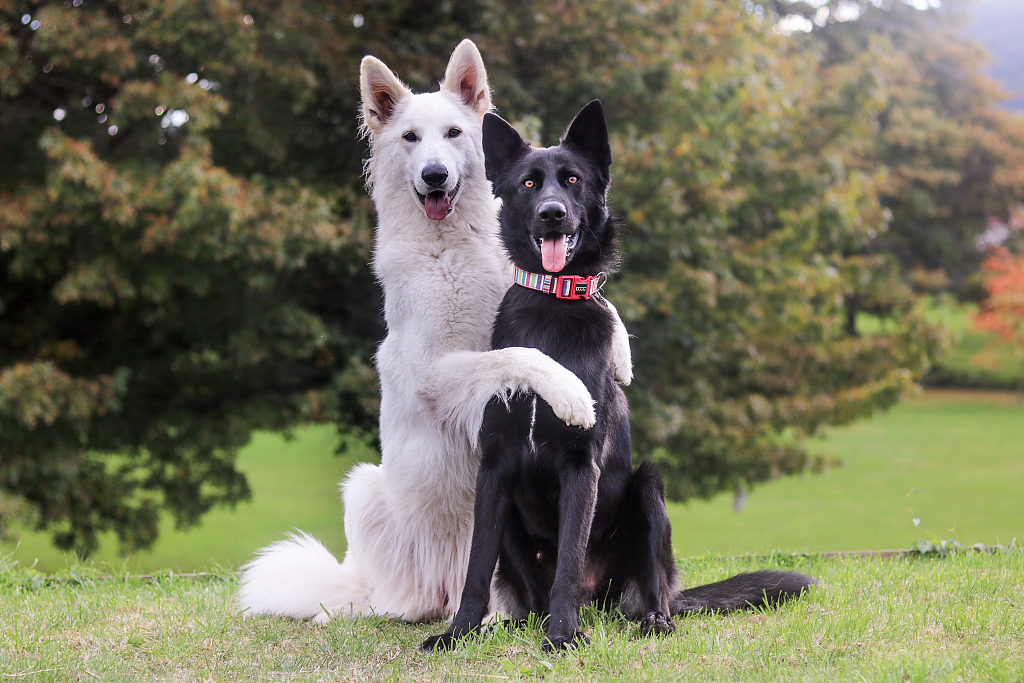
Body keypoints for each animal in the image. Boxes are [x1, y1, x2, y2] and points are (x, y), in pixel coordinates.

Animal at [237, 37, 630, 626]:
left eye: (453, 133)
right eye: (410, 138)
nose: (435, 175)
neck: (451, 247)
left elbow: (595, 302)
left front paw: (622, 354)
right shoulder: (438, 373)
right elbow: (517, 354)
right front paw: (571, 393)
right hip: (366, 490)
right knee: (400, 600)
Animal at [419, 100, 811, 651]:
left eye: (572, 179)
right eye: (528, 184)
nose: (552, 214)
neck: (552, 310)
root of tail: (600, 602)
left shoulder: (581, 466)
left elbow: (568, 561)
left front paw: (562, 638)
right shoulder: (494, 470)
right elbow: (476, 566)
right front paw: (458, 633)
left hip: (647, 491)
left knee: (651, 588)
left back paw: (649, 619)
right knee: (532, 596)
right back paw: (525, 622)